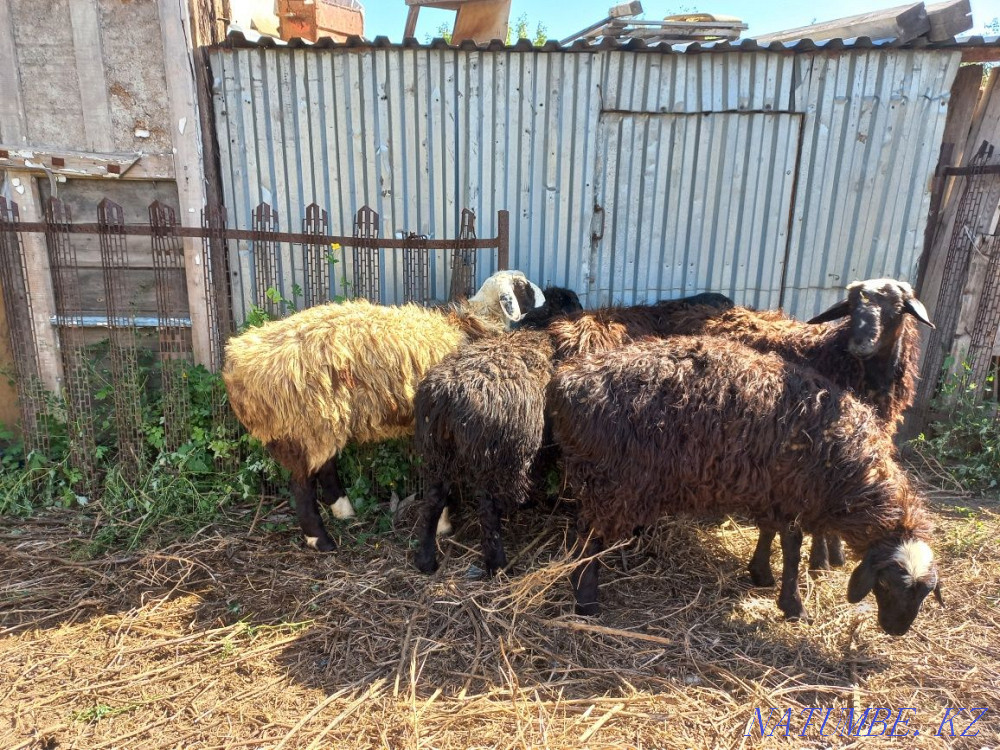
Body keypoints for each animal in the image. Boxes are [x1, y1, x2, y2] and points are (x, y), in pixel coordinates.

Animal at [222, 270, 545, 552]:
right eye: (523, 286)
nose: (545, 296)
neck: (469, 325)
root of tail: (240, 362)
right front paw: (443, 524)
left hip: (325, 419)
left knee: (325, 466)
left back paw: (344, 510)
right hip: (307, 421)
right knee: (302, 485)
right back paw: (321, 540)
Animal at [413, 292, 734, 576]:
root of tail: (449, 395)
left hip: (437, 450)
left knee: (433, 500)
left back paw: (426, 560)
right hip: (497, 455)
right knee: (488, 509)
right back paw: (498, 565)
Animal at [549, 335, 943, 635]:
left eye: (926, 595)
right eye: (886, 584)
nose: (896, 631)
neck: (847, 468)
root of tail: (566, 380)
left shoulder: (771, 490)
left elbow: (769, 532)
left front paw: (760, 573)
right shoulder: (792, 493)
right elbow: (791, 548)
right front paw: (793, 604)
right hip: (611, 481)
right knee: (589, 538)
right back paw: (586, 600)